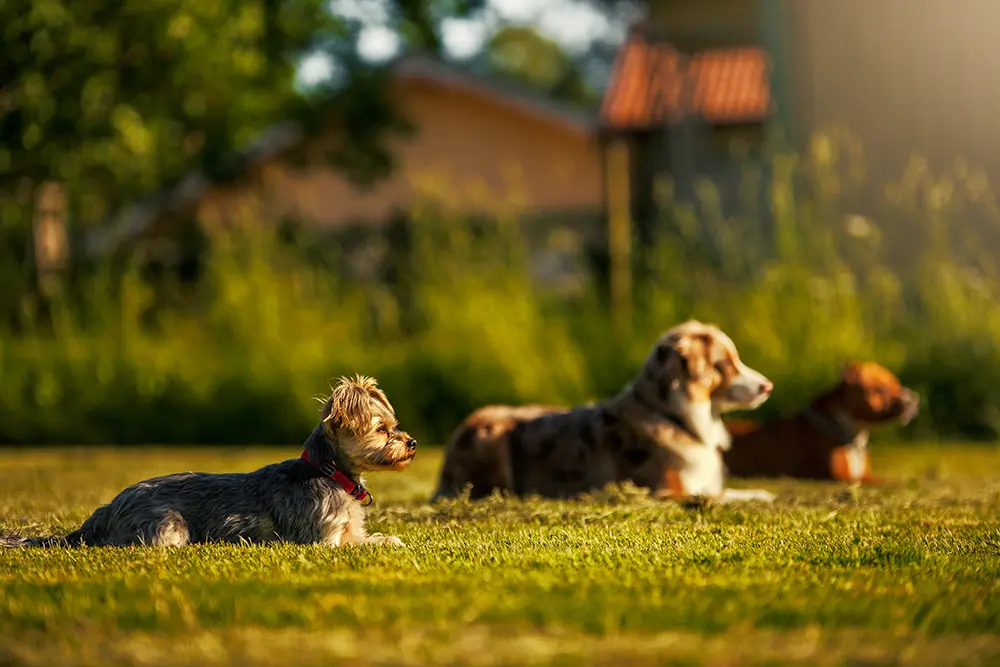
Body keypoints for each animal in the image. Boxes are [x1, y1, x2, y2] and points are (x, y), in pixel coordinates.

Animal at [1, 376, 416, 548]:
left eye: (395, 426)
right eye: (382, 429)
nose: (412, 443)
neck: (331, 474)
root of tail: (107, 508)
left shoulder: (349, 530)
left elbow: (374, 537)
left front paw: (389, 538)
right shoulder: (322, 541)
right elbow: (358, 545)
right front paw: (385, 544)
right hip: (168, 527)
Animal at [430, 320, 772, 504]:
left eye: (736, 359)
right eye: (726, 364)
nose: (768, 386)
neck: (672, 416)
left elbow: (731, 491)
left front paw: (762, 494)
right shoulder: (664, 491)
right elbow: (714, 496)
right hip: (495, 437)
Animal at [720, 362, 920, 482]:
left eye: (898, 385)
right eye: (880, 389)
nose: (912, 397)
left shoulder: (863, 473)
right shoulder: (842, 476)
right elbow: (885, 481)